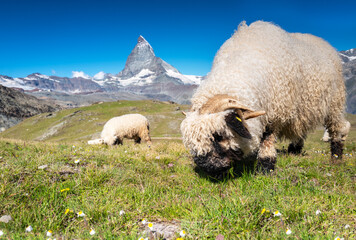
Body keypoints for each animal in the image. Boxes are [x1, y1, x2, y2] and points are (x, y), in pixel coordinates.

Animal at [182, 20, 350, 174]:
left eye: (218, 135)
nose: (208, 167)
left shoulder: (275, 113)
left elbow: (267, 141)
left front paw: (265, 167)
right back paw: (294, 150)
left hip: (335, 103)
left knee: (338, 127)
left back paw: (336, 157)